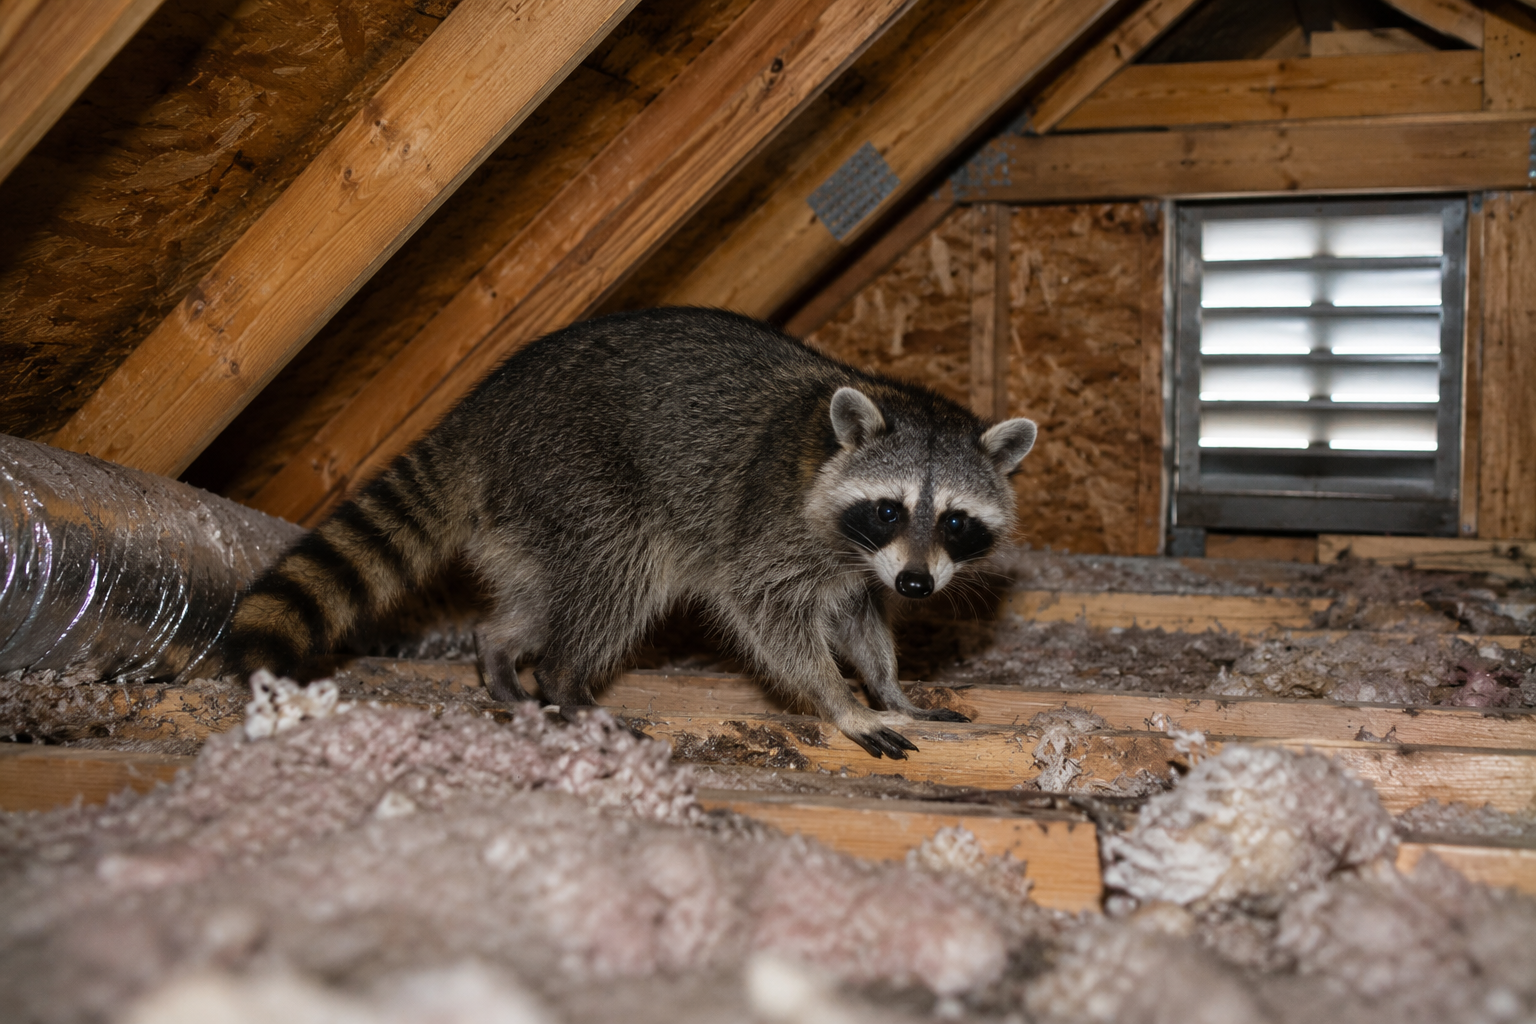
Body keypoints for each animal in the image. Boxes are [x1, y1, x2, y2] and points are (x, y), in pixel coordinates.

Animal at [228, 307, 1036, 758]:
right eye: (891, 508)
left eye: (956, 521)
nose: (918, 584)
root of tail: (479, 415)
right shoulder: (773, 521)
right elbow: (769, 614)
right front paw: (840, 702)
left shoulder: (858, 564)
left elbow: (858, 617)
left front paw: (889, 685)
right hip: (577, 471)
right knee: (618, 575)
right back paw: (567, 681)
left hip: (529, 512)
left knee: (544, 593)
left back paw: (502, 650)